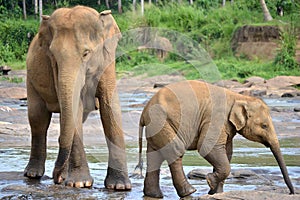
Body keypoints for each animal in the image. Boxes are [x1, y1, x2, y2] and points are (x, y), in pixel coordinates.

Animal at [24, 5, 131, 191]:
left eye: (86, 53)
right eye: (53, 56)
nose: (56, 177)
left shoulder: (107, 61)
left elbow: (110, 106)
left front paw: (120, 186)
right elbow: (76, 107)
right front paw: (80, 184)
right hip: (31, 79)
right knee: (38, 119)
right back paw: (34, 175)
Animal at [135, 80, 294, 198]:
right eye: (264, 126)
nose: (291, 193)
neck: (238, 97)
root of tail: (144, 112)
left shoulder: (227, 126)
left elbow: (227, 153)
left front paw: (215, 193)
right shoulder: (216, 119)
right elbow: (207, 147)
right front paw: (210, 182)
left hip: (157, 126)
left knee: (155, 156)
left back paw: (154, 195)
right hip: (161, 122)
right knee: (175, 150)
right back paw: (189, 192)